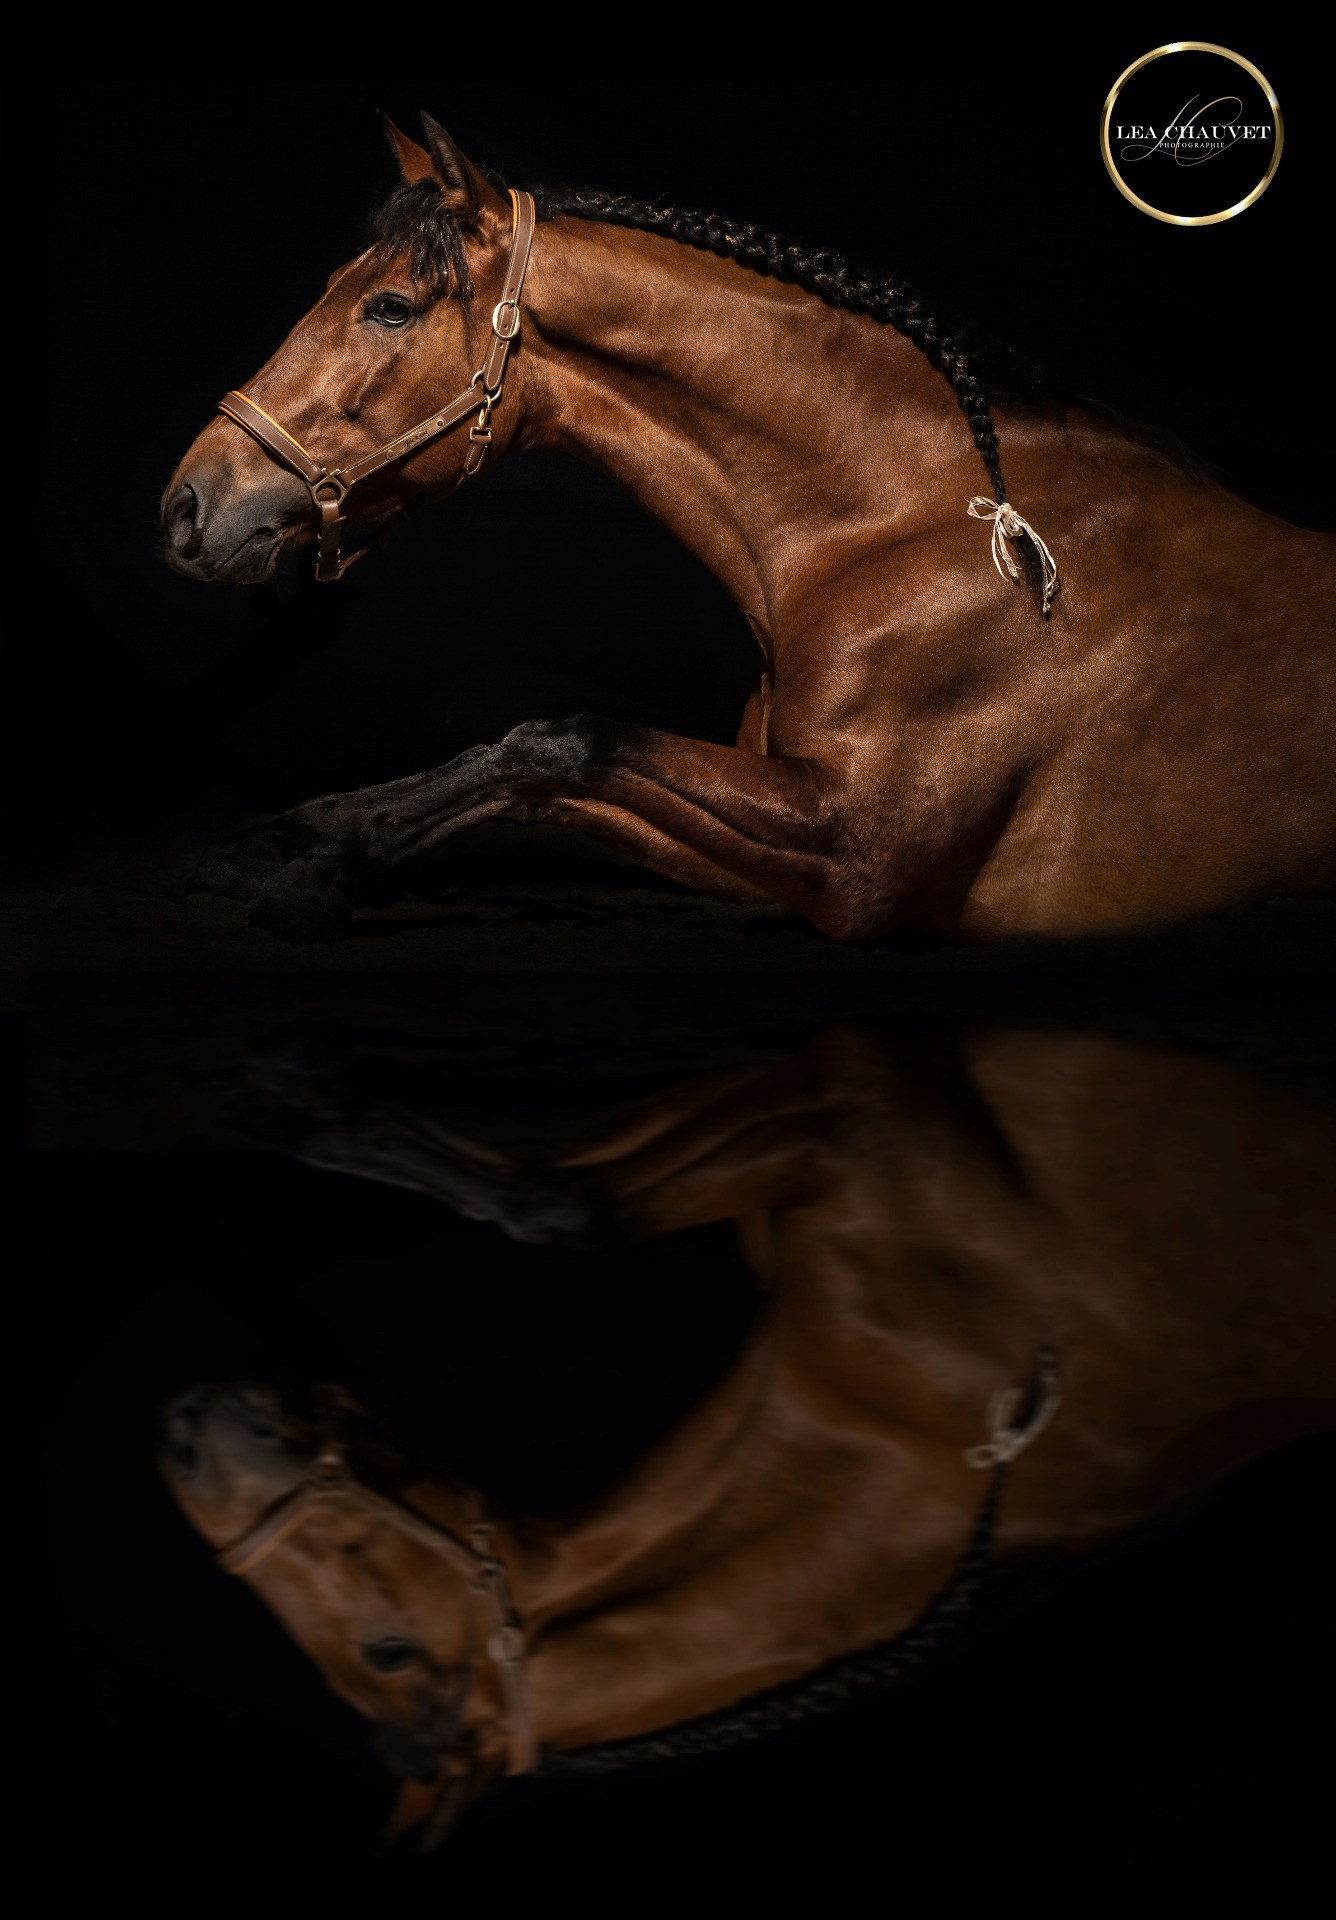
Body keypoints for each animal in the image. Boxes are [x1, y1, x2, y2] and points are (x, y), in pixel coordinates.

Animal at [160, 115, 1336, 946]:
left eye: (392, 308)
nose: (186, 505)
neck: (912, 532)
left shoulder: (857, 850)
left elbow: (561, 745)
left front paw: (316, 868)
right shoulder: (786, 850)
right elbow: (543, 791)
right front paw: (293, 839)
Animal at [161, 1021, 1336, 1846]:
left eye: (387, 1650)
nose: (182, 1437)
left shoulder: (866, 1111)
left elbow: (558, 1193)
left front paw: (280, 1088)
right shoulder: (853, 1113)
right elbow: (559, 1179)